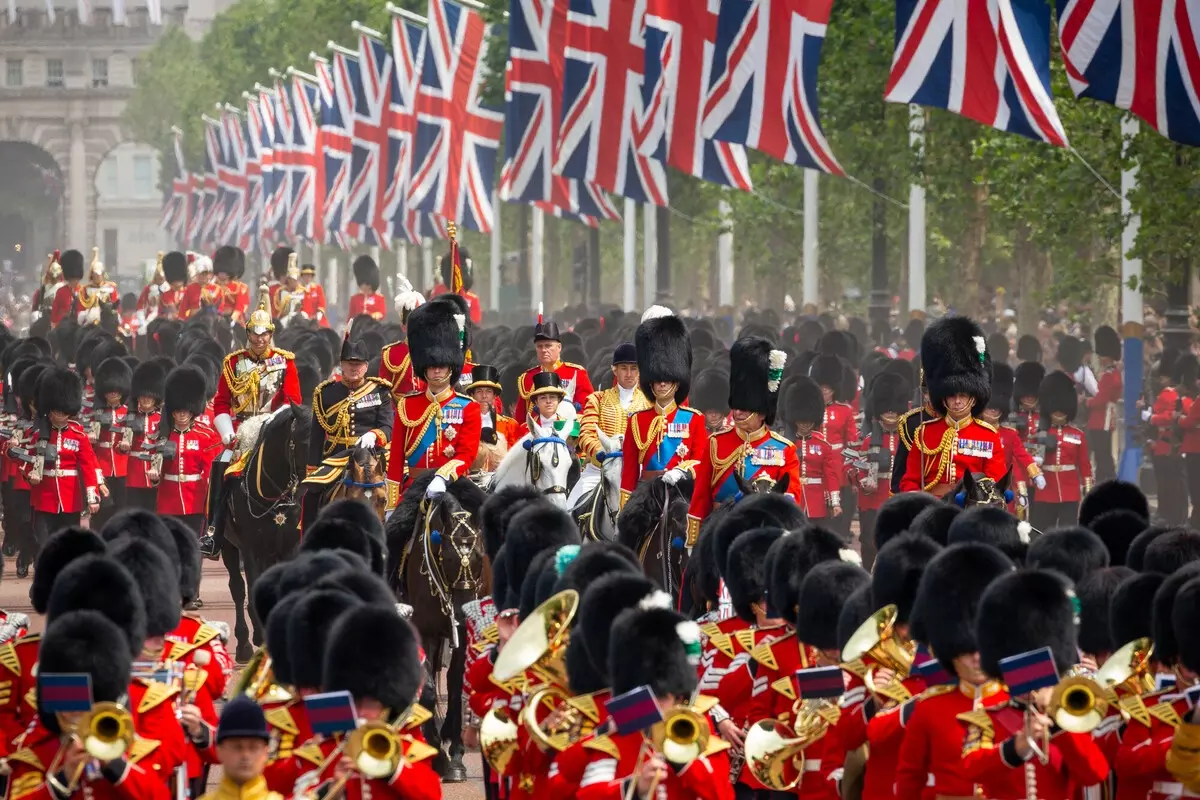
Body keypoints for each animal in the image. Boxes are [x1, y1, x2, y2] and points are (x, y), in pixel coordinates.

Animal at [222, 407, 312, 662]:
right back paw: (244, 643)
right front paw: (260, 638)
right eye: (302, 442)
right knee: (237, 589)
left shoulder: (289, 547)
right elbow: (250, 593)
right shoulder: (250, 549)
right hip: (229, 547)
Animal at [384, 474, 487, 782]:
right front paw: (436, 752)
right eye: (450, 558)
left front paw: (456, 757)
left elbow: (455, 684)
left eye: (480, 556)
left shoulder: (462, 634)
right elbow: (428, 687)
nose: (464, 613)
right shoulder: (424, 628)